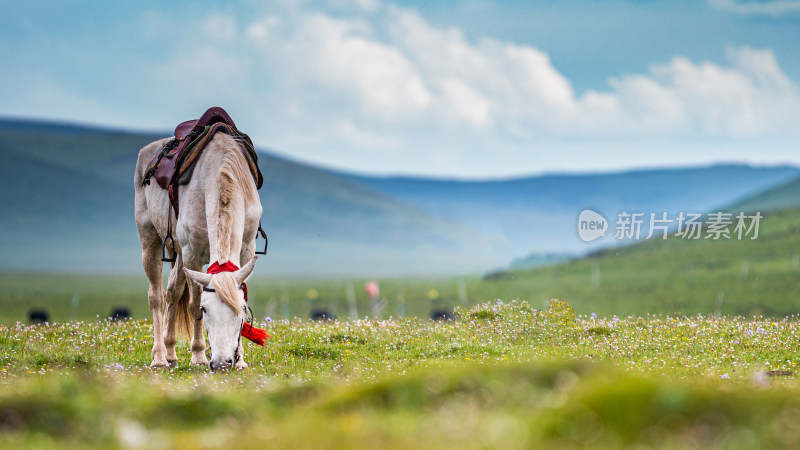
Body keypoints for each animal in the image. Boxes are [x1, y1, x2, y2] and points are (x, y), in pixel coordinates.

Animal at [134, 133, 262, 370]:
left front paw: (240, 359)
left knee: (173, 290)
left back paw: (171, 352)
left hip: (179, 253)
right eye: (206, 310)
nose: (221, 363)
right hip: (150, 239)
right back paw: (159, 357)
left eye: (240, 310)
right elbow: (193, 304)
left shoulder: (247, 251)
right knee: (156, 296)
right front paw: (198, 355)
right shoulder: (192, 255)